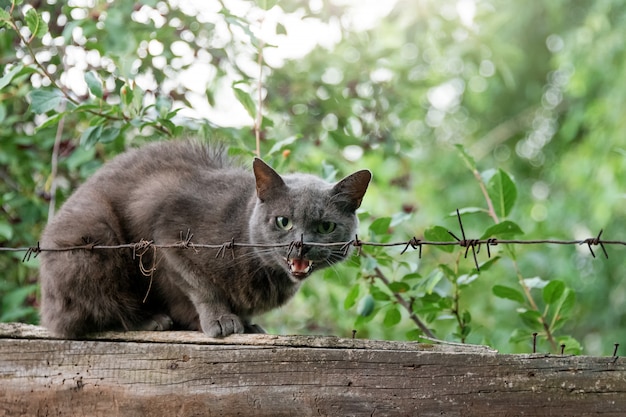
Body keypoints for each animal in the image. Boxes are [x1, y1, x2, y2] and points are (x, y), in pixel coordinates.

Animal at [37, 140, 370, 338]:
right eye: (283, 221)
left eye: (326, 227)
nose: (301, 244)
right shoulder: (169, 236)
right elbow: (201, 286)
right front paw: (222, 321)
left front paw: (247, 323)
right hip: (94, 241)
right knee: (95, 311)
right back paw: (151, 320)